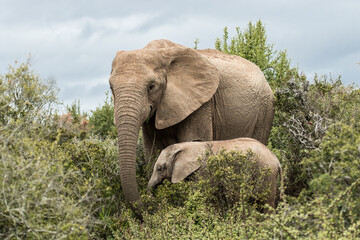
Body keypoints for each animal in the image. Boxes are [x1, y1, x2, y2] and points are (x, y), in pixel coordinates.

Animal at [108, 39, 274, 204]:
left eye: (151, 87)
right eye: (111, 88)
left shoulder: (202, 104)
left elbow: (193, 141)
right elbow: (153, 150)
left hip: (265, 108)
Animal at [148, 138, 282, 209]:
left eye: (159, 168)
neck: (186, 145)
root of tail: (276, 160)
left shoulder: (205, 170)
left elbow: (206, 195)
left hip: (266, 172)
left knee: (266, 201)